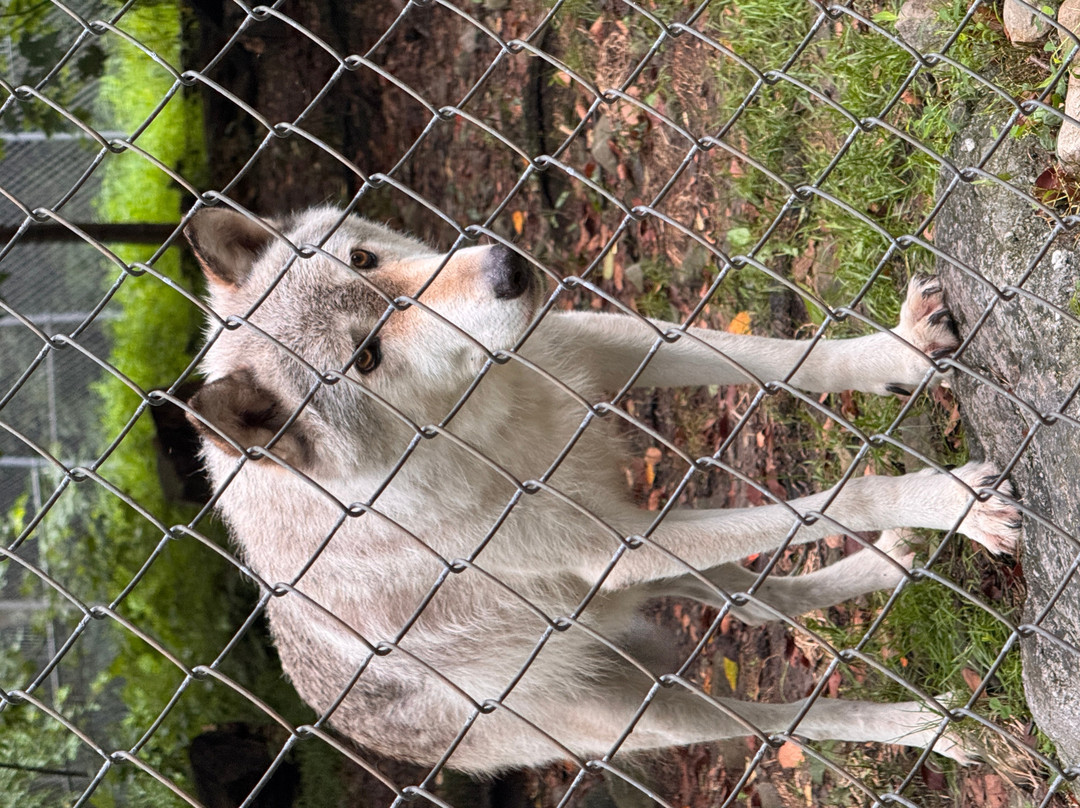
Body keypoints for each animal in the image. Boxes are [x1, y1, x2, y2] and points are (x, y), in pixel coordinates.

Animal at [183, 204, 1020, 773]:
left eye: (362, 258)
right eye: (367, 356)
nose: (508, 270)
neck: (490, 425)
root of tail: (329, 716)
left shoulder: (593, 343)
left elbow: (794, 360)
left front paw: (899, 354)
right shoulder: (624, 543)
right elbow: (850, 494)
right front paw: (955, 503)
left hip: (635, 581)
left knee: (762, 601)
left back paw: (893, 565)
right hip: (648, 703)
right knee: (780, 721)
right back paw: (927, 729)